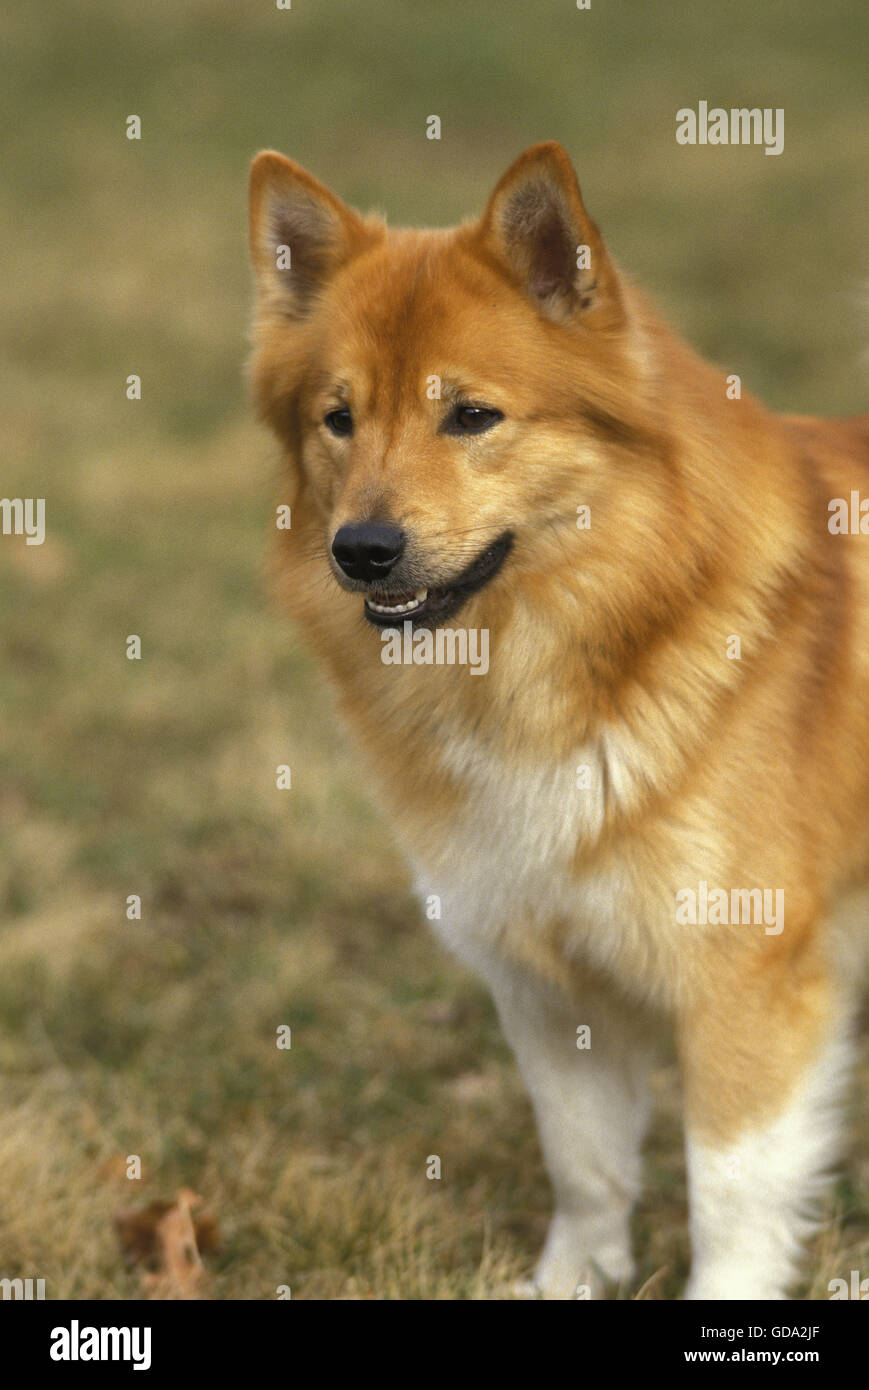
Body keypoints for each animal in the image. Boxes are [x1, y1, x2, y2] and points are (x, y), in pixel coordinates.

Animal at [244, 146, 867, 1295]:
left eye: (470, 417)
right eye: (337, 417)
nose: (361, 550)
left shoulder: (745, 984)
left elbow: (729, 1197)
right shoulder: (546, 980)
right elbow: (582, 1160)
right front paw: (571, 1280)